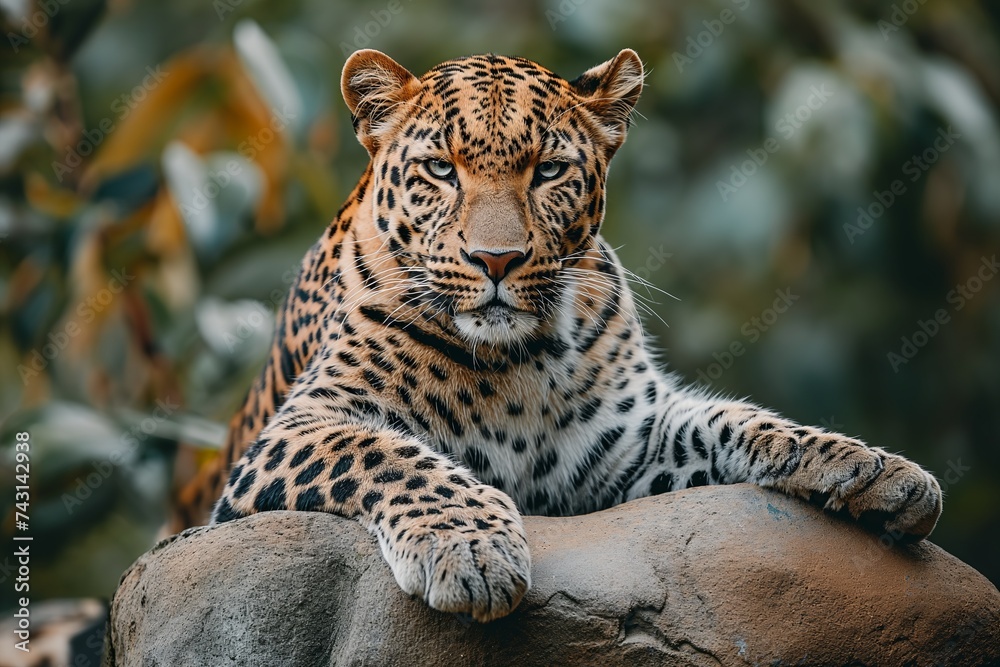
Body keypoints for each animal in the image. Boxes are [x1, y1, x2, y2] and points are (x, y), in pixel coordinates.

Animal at [175, 48, 942, 623]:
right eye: (440, 170)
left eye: (548, 170)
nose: (496, 260)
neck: (514, 361)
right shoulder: (296, 429)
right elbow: (388, 453)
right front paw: (473, 551)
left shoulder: (623, 452)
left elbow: (737, 422)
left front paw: (873, 467)